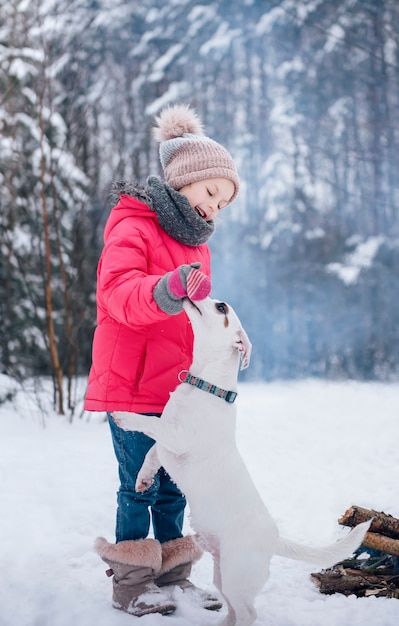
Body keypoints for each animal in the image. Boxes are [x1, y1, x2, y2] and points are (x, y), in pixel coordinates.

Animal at [114, 298, 370, 624]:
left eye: (221, 308)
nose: (199, 291)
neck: (204, 385)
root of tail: (274, 539)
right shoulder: (167, 442)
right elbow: (151, 454)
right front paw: (143, 479)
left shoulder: (177, 437)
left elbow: (149, 426)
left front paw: (123, 415)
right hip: (223, 574)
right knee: (235, 610)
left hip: (237, 574)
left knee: (248, 612)